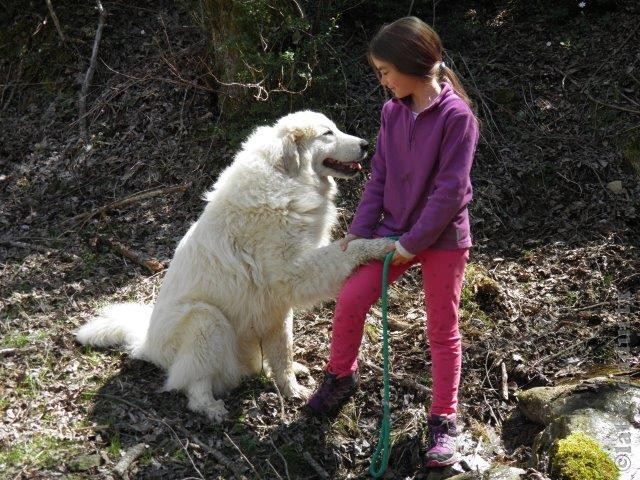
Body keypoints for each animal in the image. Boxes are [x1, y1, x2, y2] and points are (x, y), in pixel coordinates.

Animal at [77, 110, 392, 422]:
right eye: (327, 133)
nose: (366, 144)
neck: (287, 179)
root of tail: (147, 344)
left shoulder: (278, 307)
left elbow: (283, 351)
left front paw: (290, 388)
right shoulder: (294, 273)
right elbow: (346, 251)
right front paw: (382, 246)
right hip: (207, 320)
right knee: (192, 384)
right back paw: (210, 408)